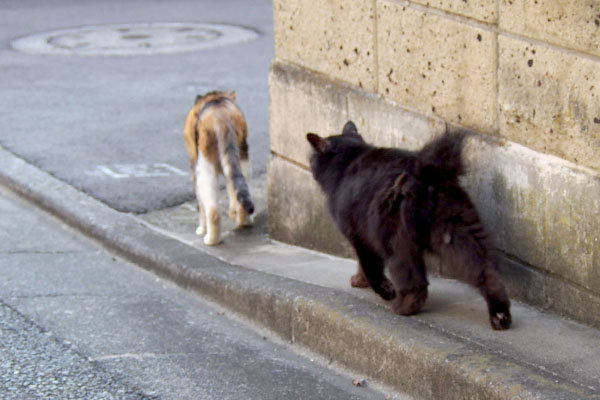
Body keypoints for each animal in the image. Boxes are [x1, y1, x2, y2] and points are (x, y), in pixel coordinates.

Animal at [183, 91, 253, 245]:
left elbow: (200, 205)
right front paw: (233, 213)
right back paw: (244, 221)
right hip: (241, 155)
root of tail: (221, 116)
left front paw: (201, 229)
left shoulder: (194, 166)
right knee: (240, 190)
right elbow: (232, 188)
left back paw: (210, 239)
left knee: (213, 210)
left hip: (204, 165)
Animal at [310, 122, 510, 332]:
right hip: (459, 233)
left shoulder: (359, 236)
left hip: (397, 240)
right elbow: (363, 266)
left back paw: (402, 307)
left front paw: (382, 289)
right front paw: (359, 281)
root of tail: (427, 173)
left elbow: (371, 268)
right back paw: (500, 315)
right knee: (486, 272)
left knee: (414, 282)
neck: (348, 162)